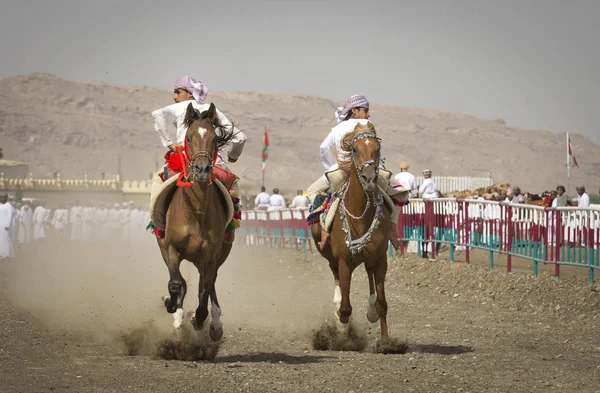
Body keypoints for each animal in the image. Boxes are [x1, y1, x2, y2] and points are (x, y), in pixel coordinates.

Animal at [158, 102, 236, 342]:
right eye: (189, 137)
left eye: (214, 138)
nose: (202, 169)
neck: (196, 213)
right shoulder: (171, 247)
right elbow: (175, 283)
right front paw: (172, 306)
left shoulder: (210, 257)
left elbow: (204, 294)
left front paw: (200, 320)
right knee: (181, 282)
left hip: (219, 254)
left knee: (209, 285)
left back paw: (215, 323)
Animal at [314, 122, 394, 340]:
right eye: (355, 149)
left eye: (377, 148)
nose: (369, 178)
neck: (361, 218)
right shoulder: (343, 261)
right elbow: (345, 308)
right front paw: (342, 335)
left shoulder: (380, 258)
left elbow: (382, 303)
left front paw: (386, 341)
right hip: (331, 258)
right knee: (338, 286)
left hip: (368, 258)